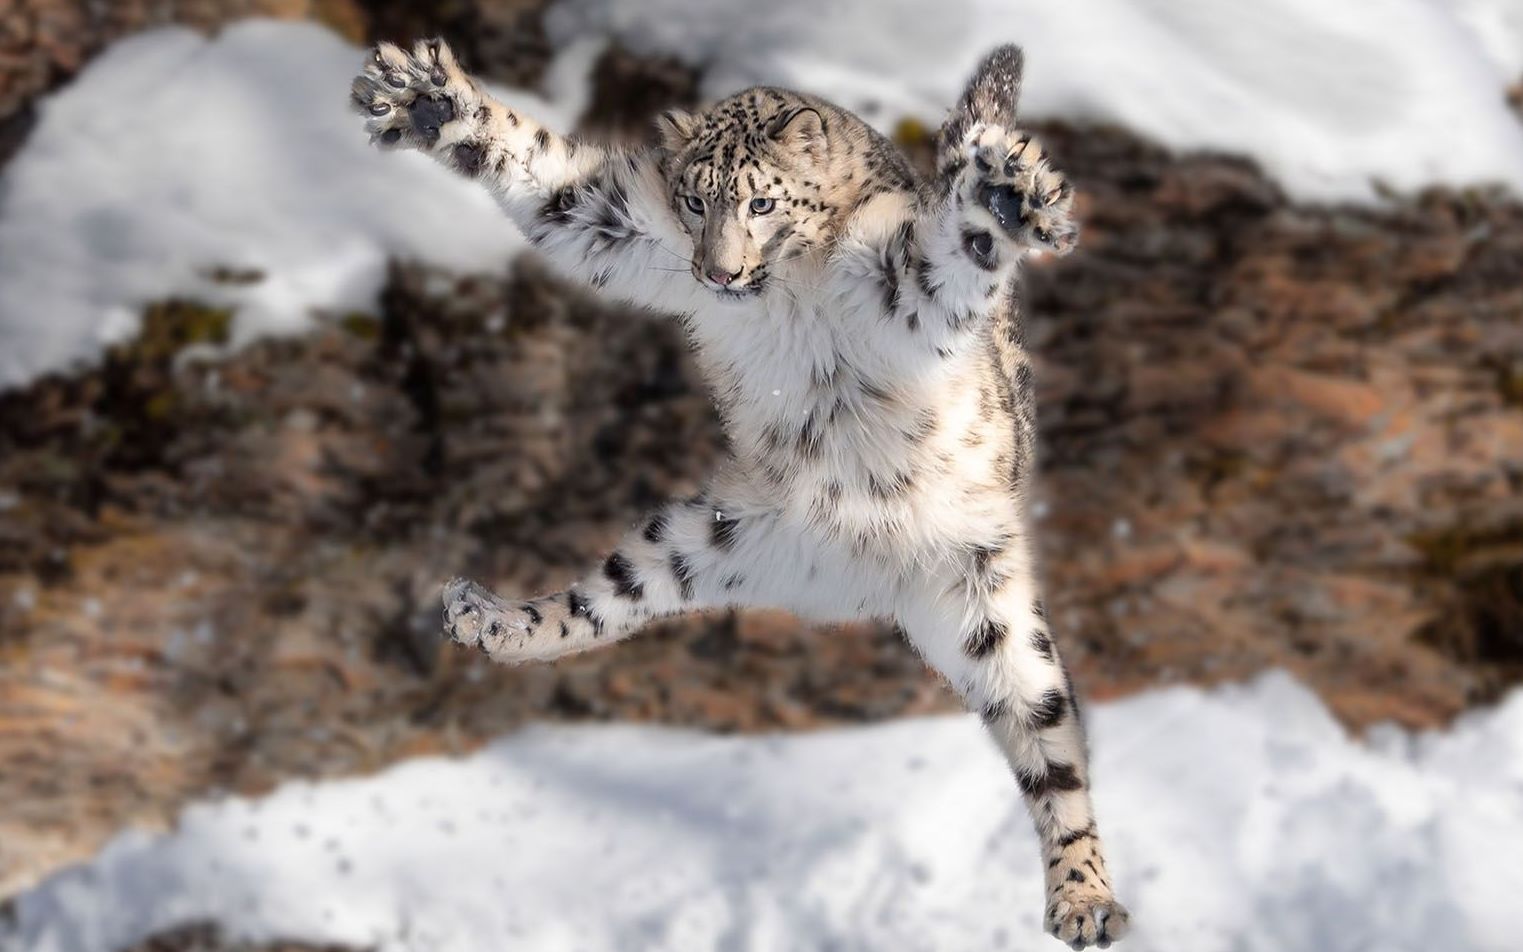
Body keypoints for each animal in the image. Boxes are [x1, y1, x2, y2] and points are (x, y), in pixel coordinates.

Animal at [350, 37, 1127, 944]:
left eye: (761, 200)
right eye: (694, 200)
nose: (717, 274)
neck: (785, 290)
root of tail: (861, 584)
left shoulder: (902, 283)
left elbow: (949, 252)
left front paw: (1005, 196)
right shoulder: (624, 224)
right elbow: (551, 182)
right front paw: (430, 101)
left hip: (993, 609)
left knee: (1051, 751)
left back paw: (1084, 899)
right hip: (699, 538)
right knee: (592, 608)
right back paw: (487, 617)